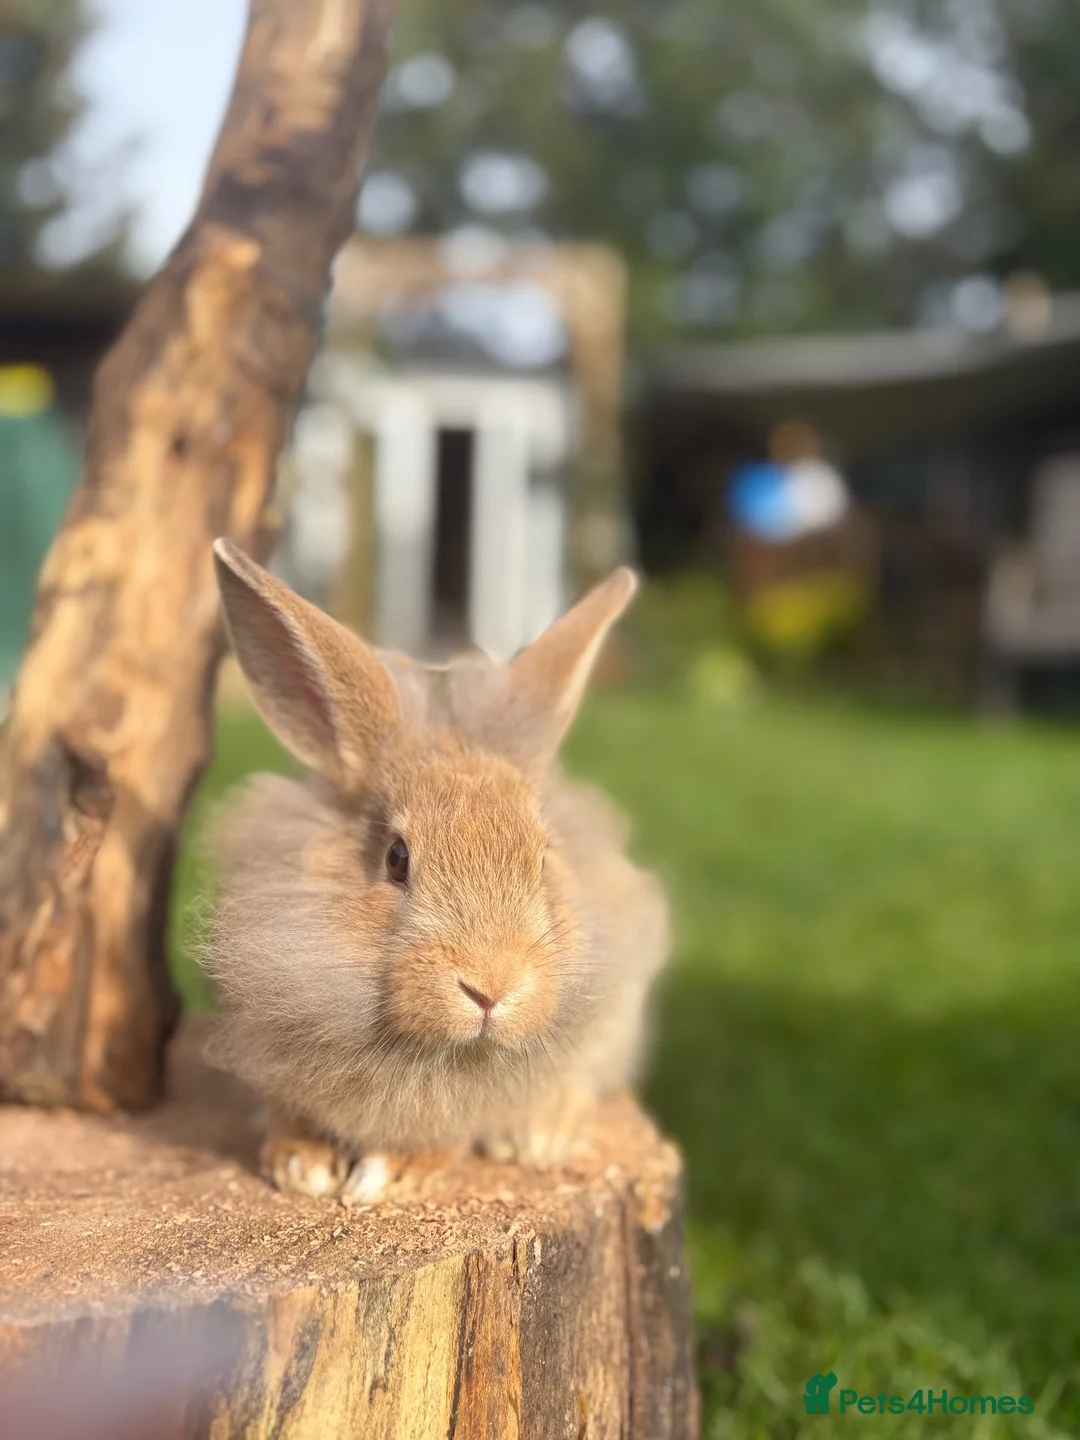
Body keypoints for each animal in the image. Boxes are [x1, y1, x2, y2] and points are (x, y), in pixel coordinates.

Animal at [203, 539, 669, 1204]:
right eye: (397, 858)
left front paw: (386, 1176)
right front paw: (302, 1167)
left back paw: (536, 1139)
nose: (490, 988)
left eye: (542, 856)